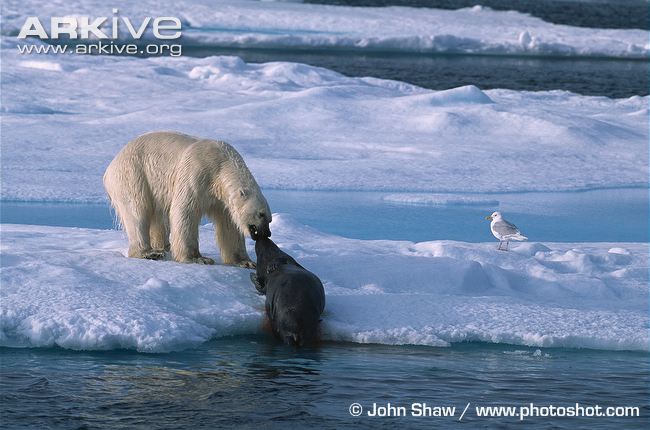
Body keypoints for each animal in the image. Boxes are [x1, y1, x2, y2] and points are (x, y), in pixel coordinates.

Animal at [103, 131, 271, 267]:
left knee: (158, 217)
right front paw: (198, 258)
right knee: (137, 212)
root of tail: (109, 168)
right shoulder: (197, 172)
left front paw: (245, 262)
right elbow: (185, 211)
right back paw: (149, 253)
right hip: (133, 174)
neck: (221, 163)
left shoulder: (222, 200)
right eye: (261, 214)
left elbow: (229, 225)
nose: (267, 233)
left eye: (269, 219)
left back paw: (164, 247)